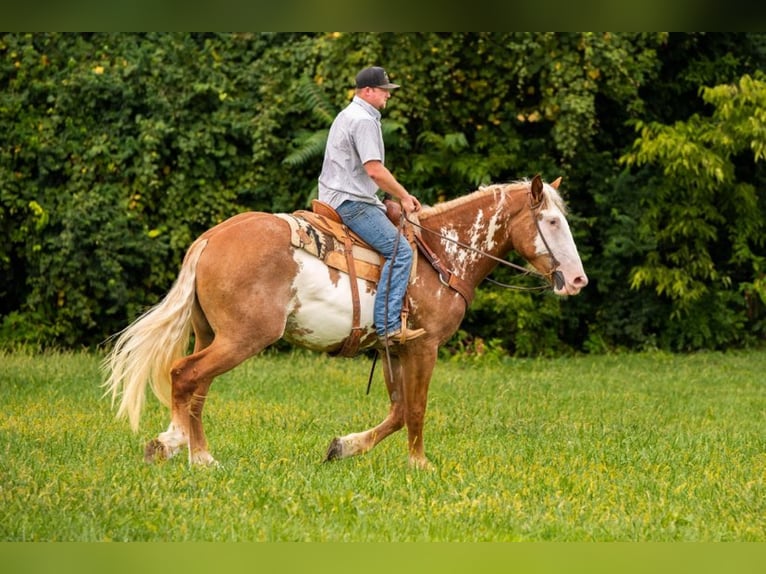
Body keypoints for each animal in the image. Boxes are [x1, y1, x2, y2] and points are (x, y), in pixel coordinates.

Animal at [105, 174, 592, 468]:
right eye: (551, 221)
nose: (577, 280)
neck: (442, 253)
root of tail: (209, 239)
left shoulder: (394, 347)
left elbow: (398, 411)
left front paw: (344, 446)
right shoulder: (424, 345)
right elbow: (416, 408)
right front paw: (420, 464)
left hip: (212, 335)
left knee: (196, 388)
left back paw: (188, 451)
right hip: (241, 338)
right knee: (185, 376)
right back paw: (185, 449)